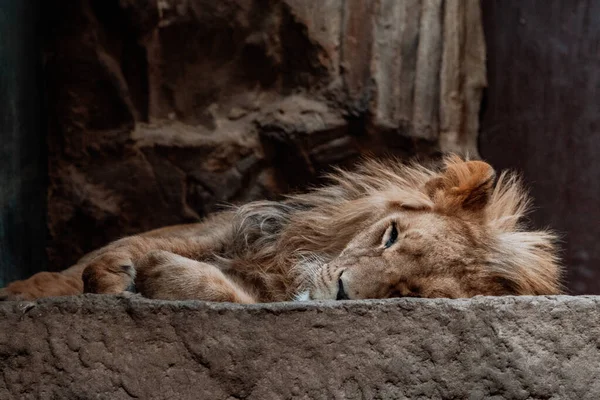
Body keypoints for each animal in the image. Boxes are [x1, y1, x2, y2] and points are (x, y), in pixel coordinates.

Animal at [1, 156, 564, 304]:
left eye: (408, 292)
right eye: (390, 236)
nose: (342, 293)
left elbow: (227, 295)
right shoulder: (238, 229)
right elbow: (130, 243)